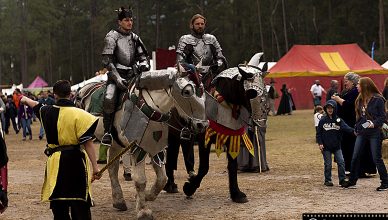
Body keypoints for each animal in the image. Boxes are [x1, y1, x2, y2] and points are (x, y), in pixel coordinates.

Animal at [76, 67, 209, 220]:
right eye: (187, 92)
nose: (202, 125)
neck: (153, 107)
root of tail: (81, 92)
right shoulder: (137, 147)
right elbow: (140, 180)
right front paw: (143, 211)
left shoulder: (155, 146)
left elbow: (162, 179)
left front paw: (146, 197)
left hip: (116, 144)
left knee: (112, 169)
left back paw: (119, 201)